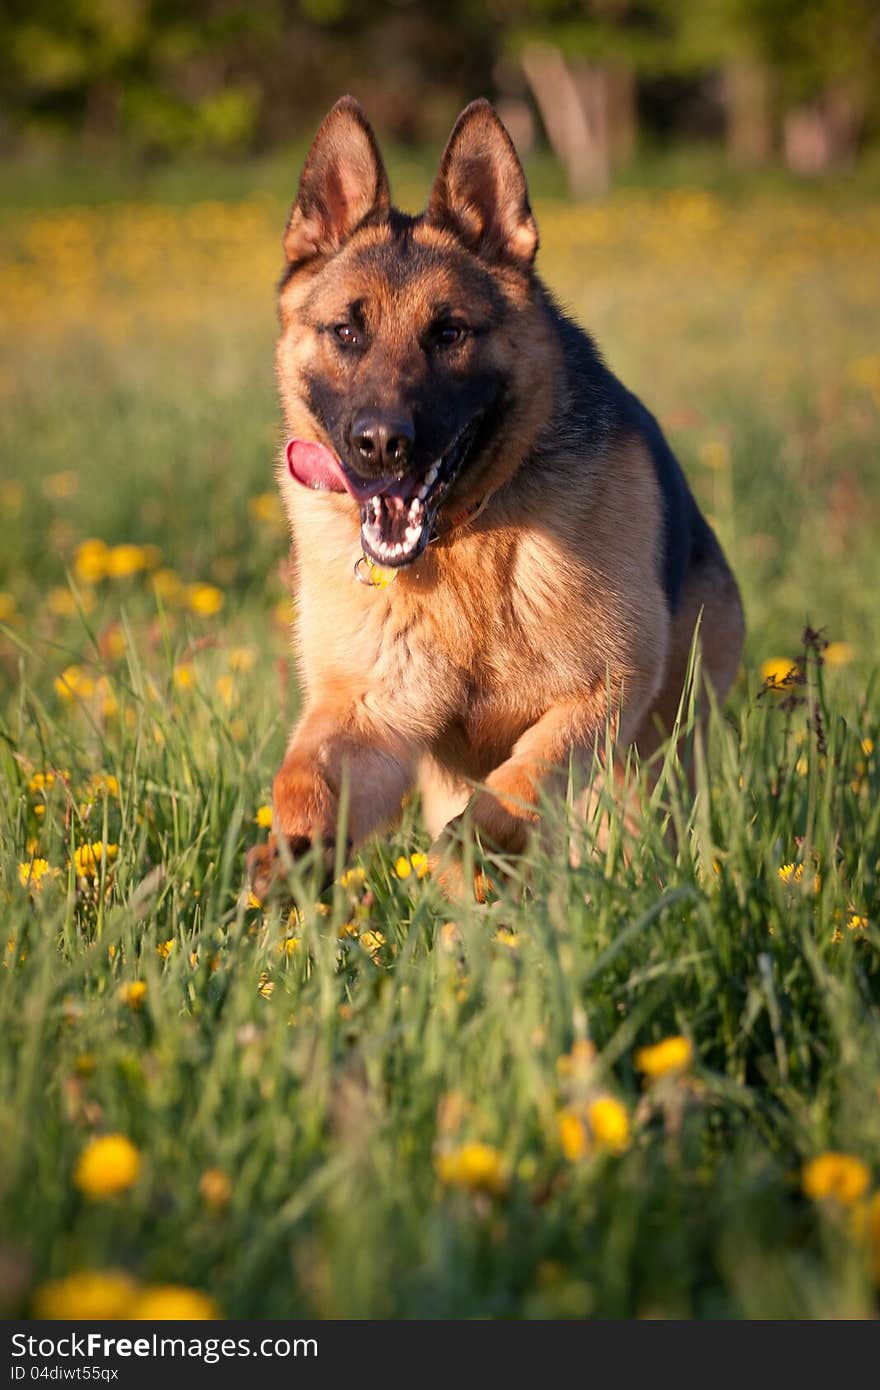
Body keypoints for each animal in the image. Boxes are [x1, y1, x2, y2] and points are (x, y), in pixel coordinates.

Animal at [246, 100, 739, 900]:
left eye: (449, 332)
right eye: (346, 331)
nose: (381, 445)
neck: (463, 545)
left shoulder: (601, 695)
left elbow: (521, 786)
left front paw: (475, 843)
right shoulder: (370, 716)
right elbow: (303, 782)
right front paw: (291, 854)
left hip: (649, 768)